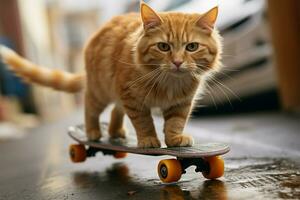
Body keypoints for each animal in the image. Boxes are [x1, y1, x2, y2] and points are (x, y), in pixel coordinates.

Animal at [0, 2, 220, 148]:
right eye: (163, 47)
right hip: (100, 91)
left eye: (192, 47)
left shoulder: (181, 103)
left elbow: (176, 123)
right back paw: (93, 132)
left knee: (116, 110)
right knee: (90, 108)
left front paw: (174, 140)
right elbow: (144, 122)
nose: (177, 62)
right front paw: (148, 139)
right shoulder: (133, 99)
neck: (169, 82)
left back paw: (115, 132)